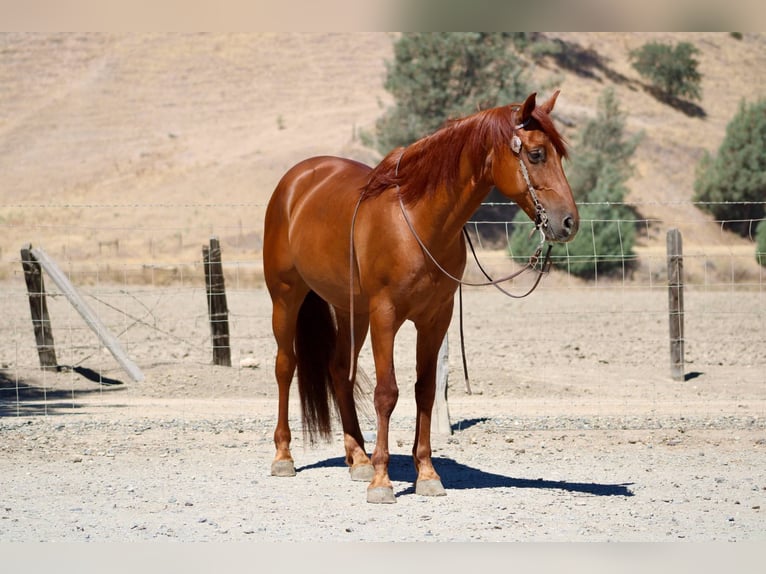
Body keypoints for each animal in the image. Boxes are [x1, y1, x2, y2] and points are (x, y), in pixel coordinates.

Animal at [262, 90, 579, 504]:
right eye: (537, 154)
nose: (569, 222)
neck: (418, 218)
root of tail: (295, 181)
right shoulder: (385, 315)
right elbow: (387, 393)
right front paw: (382, 482)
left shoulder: (434, 318)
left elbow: (425, 391)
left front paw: (426, 474)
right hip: (286, 297)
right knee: (286, 366)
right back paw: (284, 456)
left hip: (350, 310)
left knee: (338, 370)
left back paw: (358, 458)